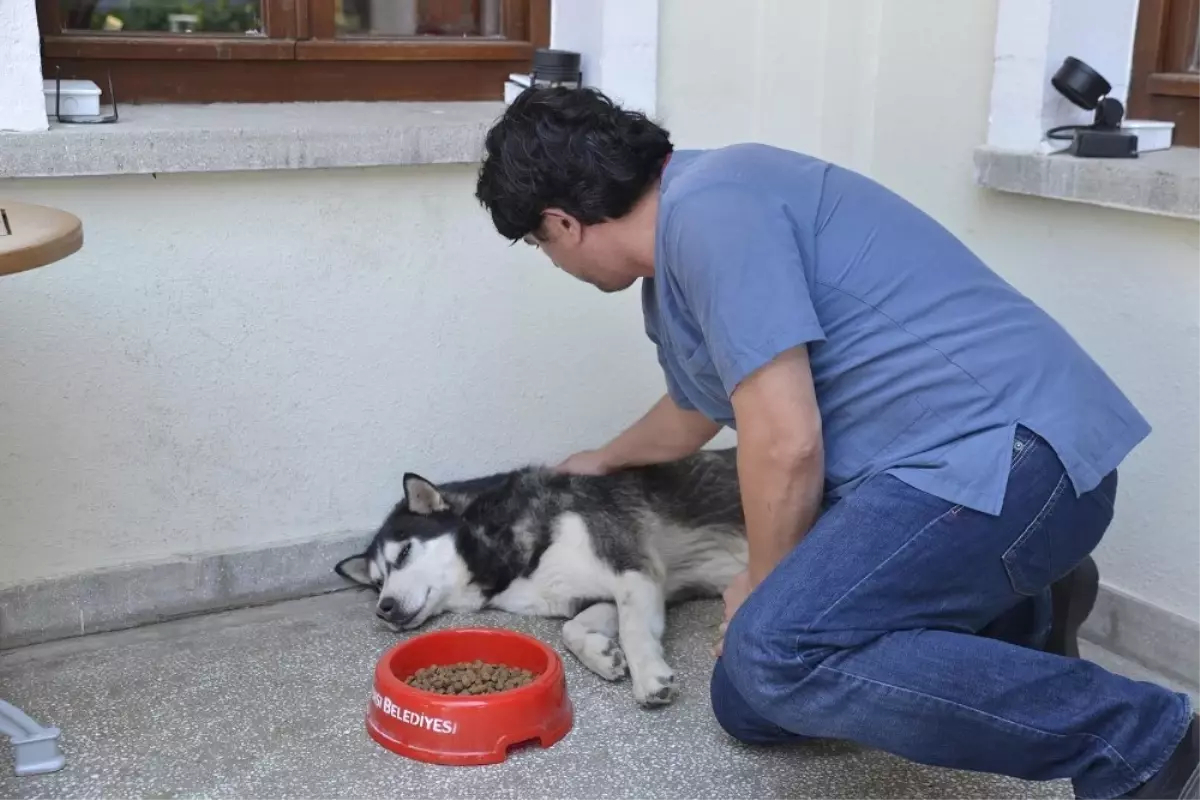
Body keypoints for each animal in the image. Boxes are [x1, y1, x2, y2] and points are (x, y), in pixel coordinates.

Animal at [333, 450, 744, 705]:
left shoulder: (633, 569)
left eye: (403, 554)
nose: (383, 608)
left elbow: (632, 630)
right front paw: (602, 655)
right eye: (376, 583)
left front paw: (648, 675)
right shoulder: (598, 596)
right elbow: (570, 630)